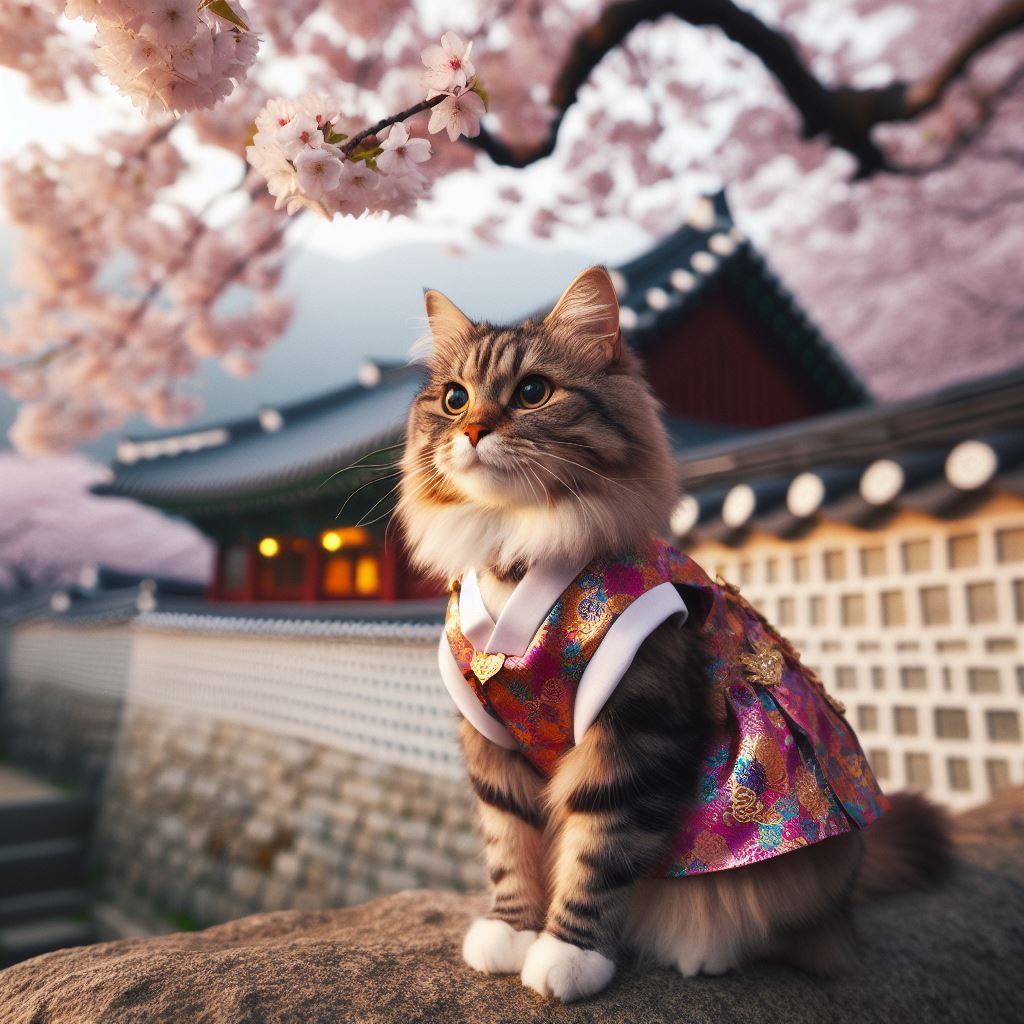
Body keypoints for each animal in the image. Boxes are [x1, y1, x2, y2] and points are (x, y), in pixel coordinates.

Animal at [393, 264, 950, 999]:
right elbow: (509, 845)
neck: (518, 552)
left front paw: (567, 956)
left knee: (785, 929)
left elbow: (597, 853)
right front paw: (511, 932)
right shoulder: (492, 740)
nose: (475, 430)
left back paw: (702, 949)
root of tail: (849, 883)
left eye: (533, 392)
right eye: (455, 400)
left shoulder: (634, 728)